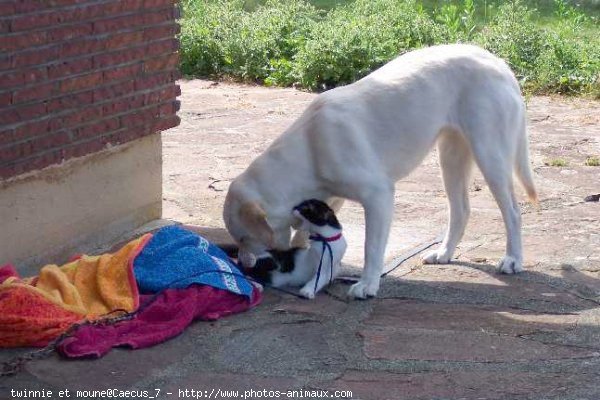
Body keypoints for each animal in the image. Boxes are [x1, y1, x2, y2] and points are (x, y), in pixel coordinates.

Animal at [223, 44, 536, 300]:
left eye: (243, 239)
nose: (242, 264)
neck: (309, 148)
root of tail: (499, 63)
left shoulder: (378, 196)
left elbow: (370, 248)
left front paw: (367, 285)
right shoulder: (330, 200)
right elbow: (307, 236)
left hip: (490, 156)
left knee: (513, 212)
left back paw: (512, 259)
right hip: (451, 158)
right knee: (461, 210)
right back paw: (445, 253)